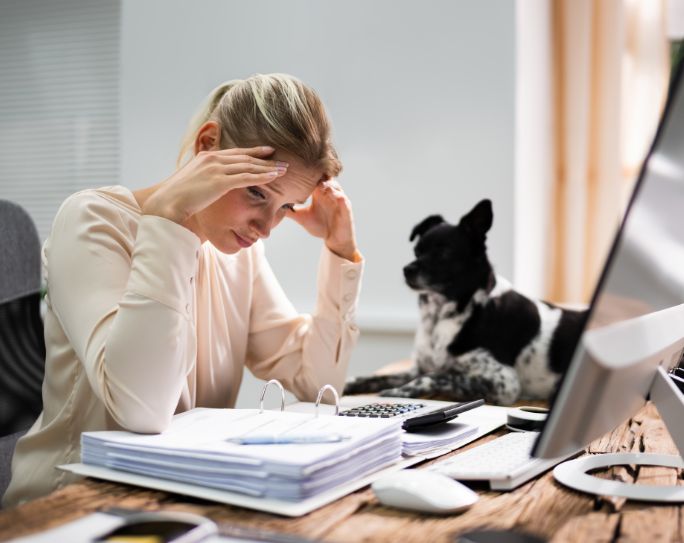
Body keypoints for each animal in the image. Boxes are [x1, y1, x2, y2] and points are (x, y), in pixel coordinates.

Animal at [348, 199, 588, 404]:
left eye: (444, 254)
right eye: (416, 251)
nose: (407, 270)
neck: (441, 317)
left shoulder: (504, 382)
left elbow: (436, 376)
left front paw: (402, 390)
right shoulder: (418, 367)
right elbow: (376, 376)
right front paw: (349, 383)